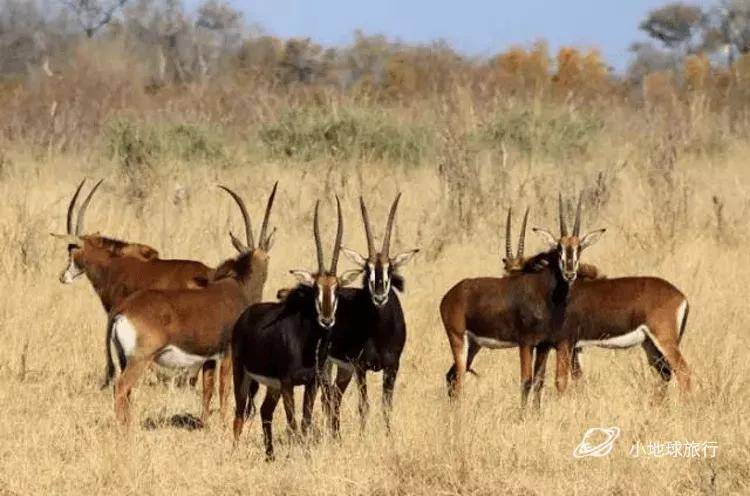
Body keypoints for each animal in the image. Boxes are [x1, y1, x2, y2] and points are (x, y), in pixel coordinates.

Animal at [106, 182, 280, 426]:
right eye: (267, 258)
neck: (240, 286)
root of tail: (122, 309)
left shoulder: (208, 359)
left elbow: (207, 390)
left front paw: (205, 423)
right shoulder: (227, 353)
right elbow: (224, 388)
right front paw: (223, 424)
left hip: (125, 359)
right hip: (140, 359)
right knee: (120, 388)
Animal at [232, 196, 362, 460]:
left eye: (337, 288)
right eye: (315, 287)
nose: (326, 320)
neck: (307, 342)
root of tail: (245, 316)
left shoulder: (311, 383)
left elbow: (305, 422)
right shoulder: (288, 383)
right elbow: (292, 424)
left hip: (271, 387)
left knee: (265, 412)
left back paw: (270, 456)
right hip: (242, 376)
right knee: (239, 415)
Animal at [324, 194, 424, 434]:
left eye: (390, 267)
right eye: (367, 268)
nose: (379, 296)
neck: (380, 331)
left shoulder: (392, 367)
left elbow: (387, 407)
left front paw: (389, 437)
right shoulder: (361, 368)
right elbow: (364, 406)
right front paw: (362, 437)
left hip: (343, 369)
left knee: (334, 396)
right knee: (327, 397)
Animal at [532, 194, 692, 400]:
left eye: (579, 247)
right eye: (559, 248)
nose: (569, 273)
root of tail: (681, 296)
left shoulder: (565, 344)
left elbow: (561, 382)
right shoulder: (577, 347)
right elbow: (578, 379)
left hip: (664, 340)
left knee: (683, 371)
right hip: (649, 344)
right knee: (664, 373)